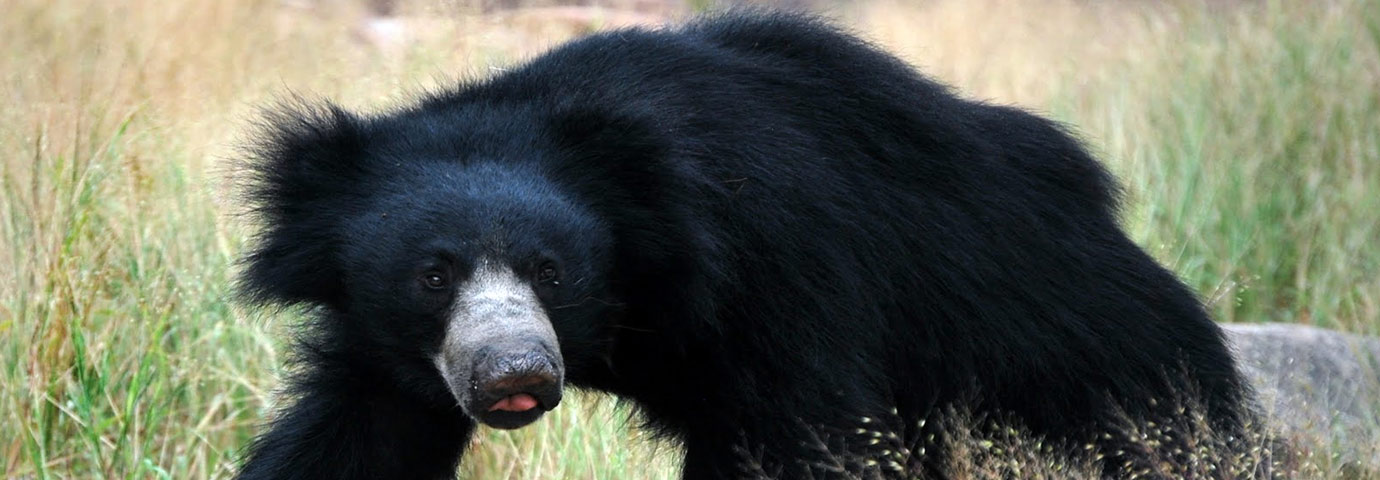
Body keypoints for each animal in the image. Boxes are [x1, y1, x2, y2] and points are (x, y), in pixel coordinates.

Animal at [237, 10, 1253, 480]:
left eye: (552, 272)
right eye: (433, 274)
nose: (514, 373)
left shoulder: (780, 273)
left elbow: (801, 437)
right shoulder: (388, 353)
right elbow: (358, 435)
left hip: (1070, 347)